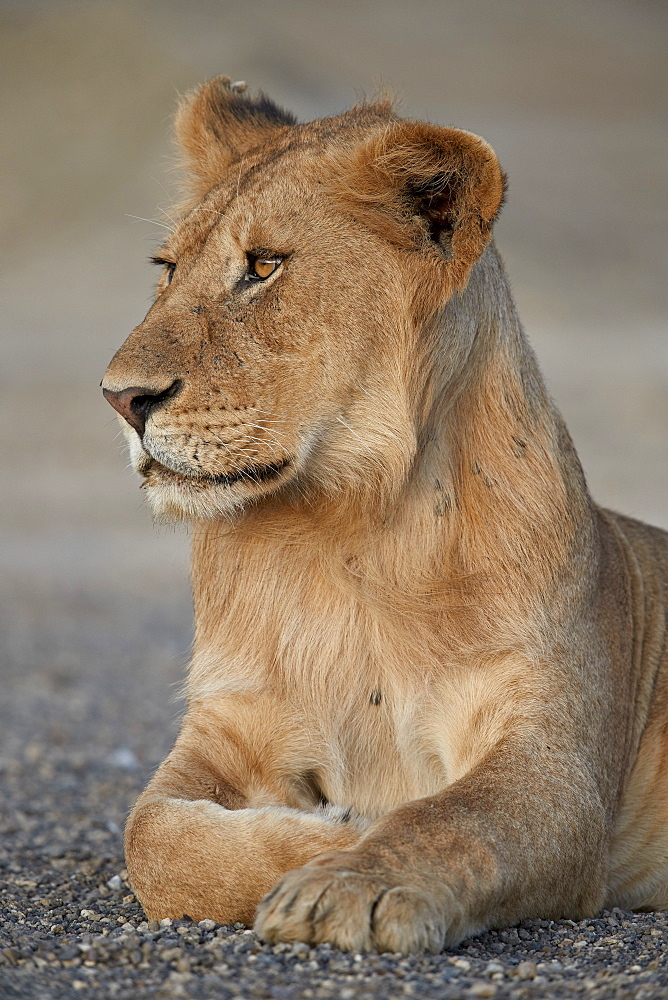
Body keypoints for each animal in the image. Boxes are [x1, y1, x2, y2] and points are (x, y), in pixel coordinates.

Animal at [100, 78, 668, 952]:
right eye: (166, 270)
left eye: (263, 266)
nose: (121, 398)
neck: (344, 529)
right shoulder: (227, 723)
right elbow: (152, 838)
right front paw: (334, 832)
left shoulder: (556, 769)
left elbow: (453, 820)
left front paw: (349, 880)